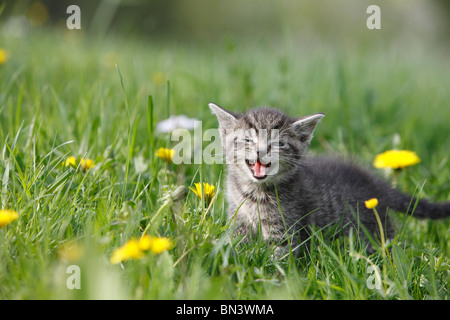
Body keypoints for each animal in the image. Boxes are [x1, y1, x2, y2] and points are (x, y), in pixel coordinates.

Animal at [210, 102, 450, 255]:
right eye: (247, 140)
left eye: (279, 143)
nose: (260, 151)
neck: (255, 191)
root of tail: (374, 183)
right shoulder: (237, 215)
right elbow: (236, 241)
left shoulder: (285, 225)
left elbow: (280, 255)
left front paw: (274, 278)